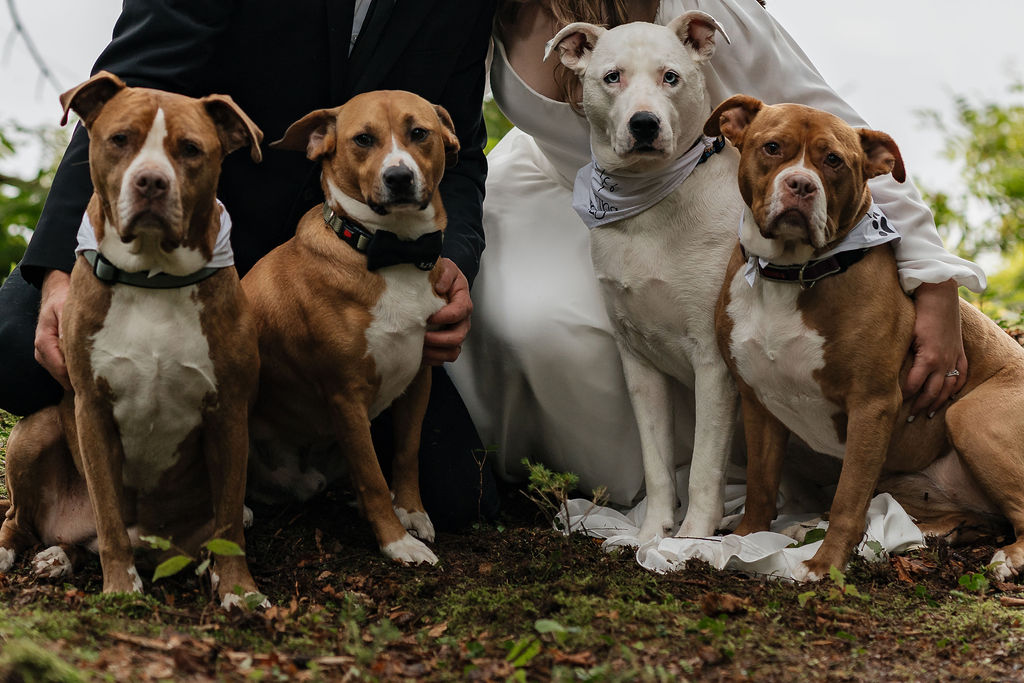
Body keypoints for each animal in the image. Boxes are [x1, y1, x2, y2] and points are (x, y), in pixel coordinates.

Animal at [0, 70, 268, 610]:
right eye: (120, 139)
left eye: (190, 149)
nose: (151, 182)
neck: (153, 277)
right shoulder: (93, 410)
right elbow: (108, 515)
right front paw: (121, 588)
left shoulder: (229, 413)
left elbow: (230, 521)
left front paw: (239, 590)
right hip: (34, 433)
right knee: (21, 520)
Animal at [241, 88, 458, 565]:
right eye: (363, 139)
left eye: (420, 133)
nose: (399, 177)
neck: (391, 251)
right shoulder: (346, 396)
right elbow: (373, 477)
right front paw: (396, 542)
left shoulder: (419, 378)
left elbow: (406, 453)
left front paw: (410, 512)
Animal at [552, 13, 745, 540]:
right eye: (612, 77)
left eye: (670, 77)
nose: (644, 123)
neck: (649, 201)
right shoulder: (638, 361)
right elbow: (656, 461)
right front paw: (653, 534)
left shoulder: (713, 362)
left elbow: (703, 467)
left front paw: (691, 539)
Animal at [708, 96, 1024, 581]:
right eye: (772, 147)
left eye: (834, 160)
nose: (801, 185)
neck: (792, 274)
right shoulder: (757, 398)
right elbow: (762, 483)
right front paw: (747, 538)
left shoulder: (871, 405)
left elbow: (848, 498)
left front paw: (824, 564)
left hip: (971, 415)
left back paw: (1008, 557)